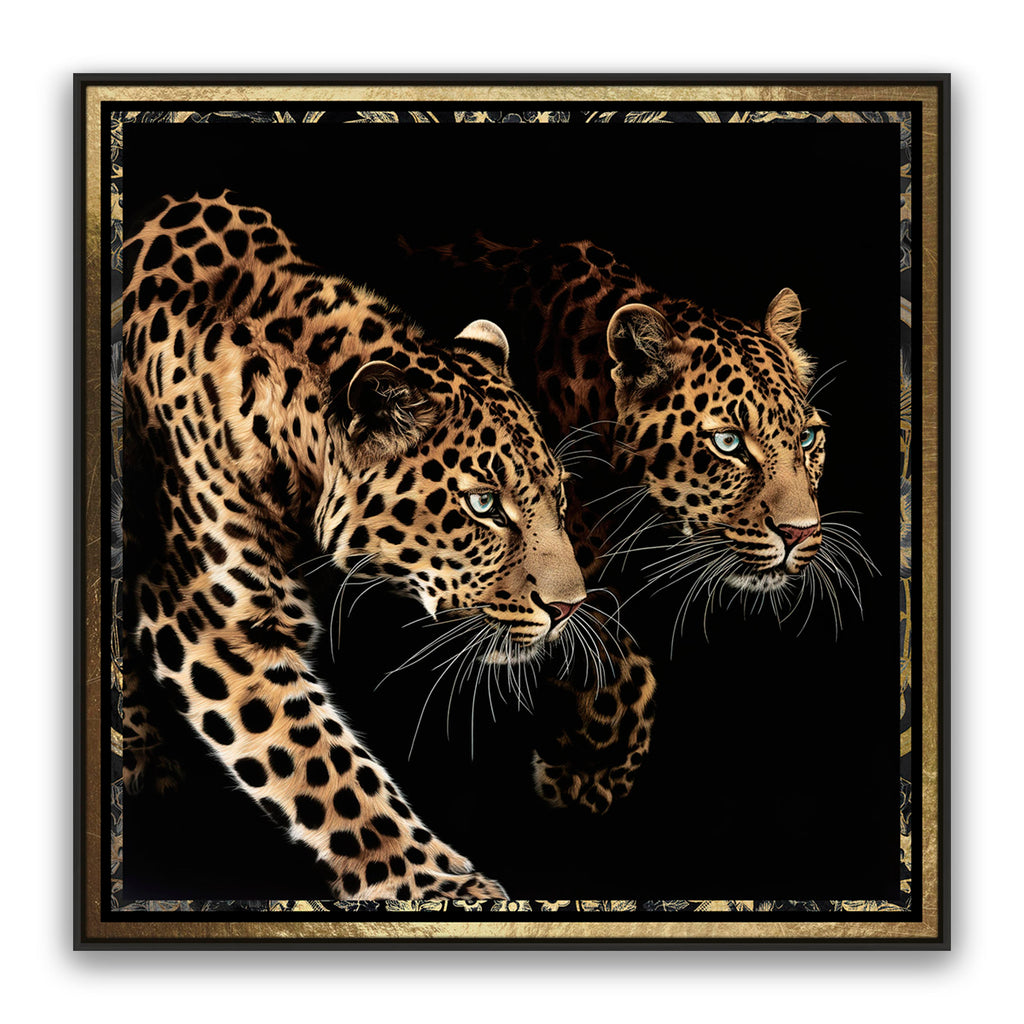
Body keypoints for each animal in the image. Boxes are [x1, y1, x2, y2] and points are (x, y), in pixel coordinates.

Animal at [119, 192, 590, 901]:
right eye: (483, 505)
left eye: (557, 495)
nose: (571, 608)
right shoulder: (210, 621)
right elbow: (329, 773)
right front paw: (441, 887)